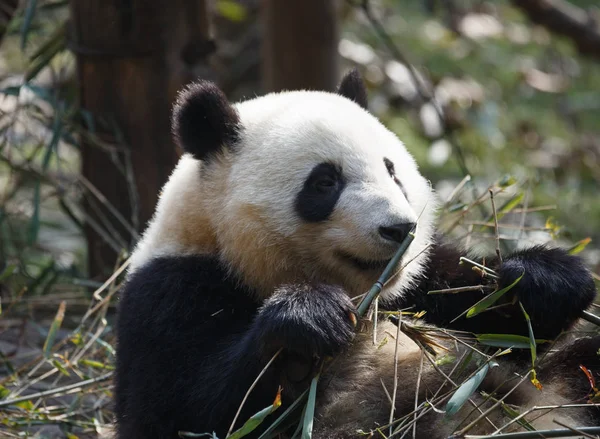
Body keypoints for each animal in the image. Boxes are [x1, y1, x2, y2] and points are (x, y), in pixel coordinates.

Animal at [115, 69, 596, 439]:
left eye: (392, 170)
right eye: (325, 181)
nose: (399, 229)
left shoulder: (422, 287)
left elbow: (496, 320)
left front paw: (541, 280)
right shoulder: (170, 293)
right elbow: (183, 412)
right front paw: (308, 322)